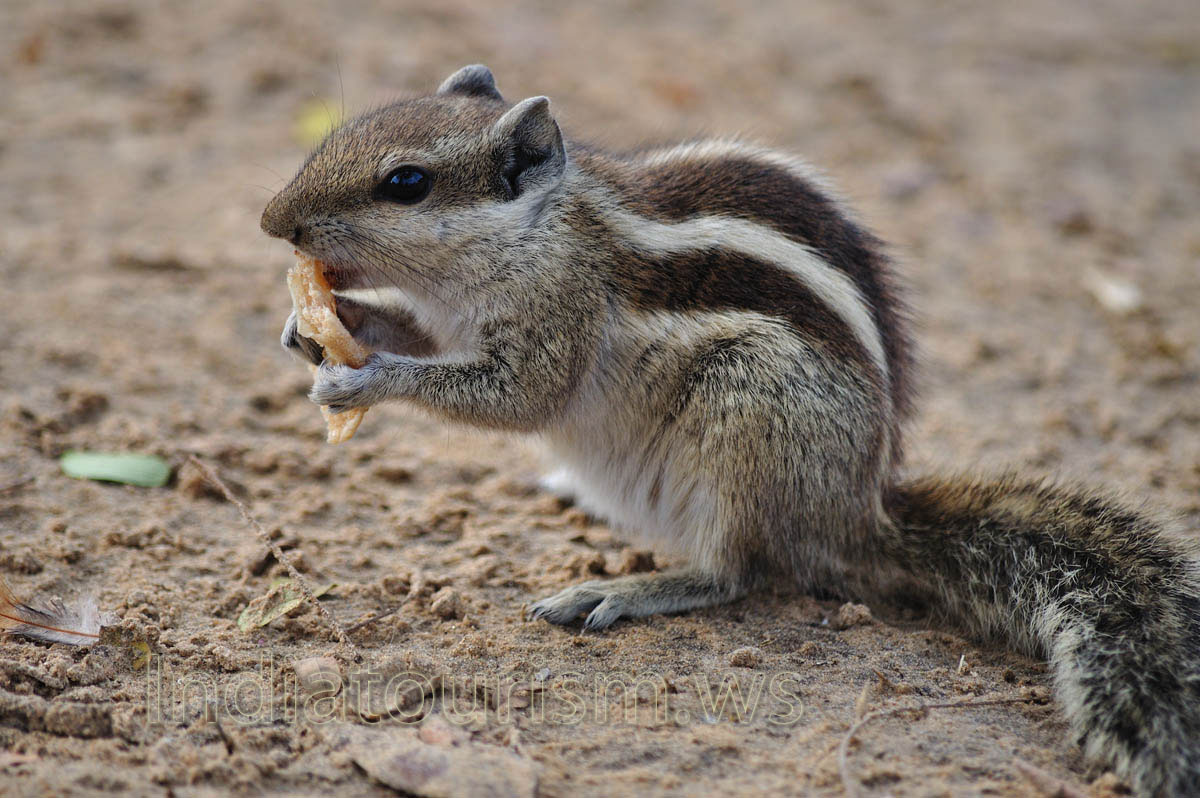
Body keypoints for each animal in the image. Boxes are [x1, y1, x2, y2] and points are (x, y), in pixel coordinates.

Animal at [261, 65, 1200, 796]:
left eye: (406, 183)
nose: (274, 224)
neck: (536, 229)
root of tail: (860, 511)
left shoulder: (555, 319)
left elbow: (516, 398)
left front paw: (367, 376)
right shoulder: (451, 316)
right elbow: (418, 337)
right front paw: (322, 322)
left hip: (745, 412)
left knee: (738, 569)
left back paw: (631, 589)